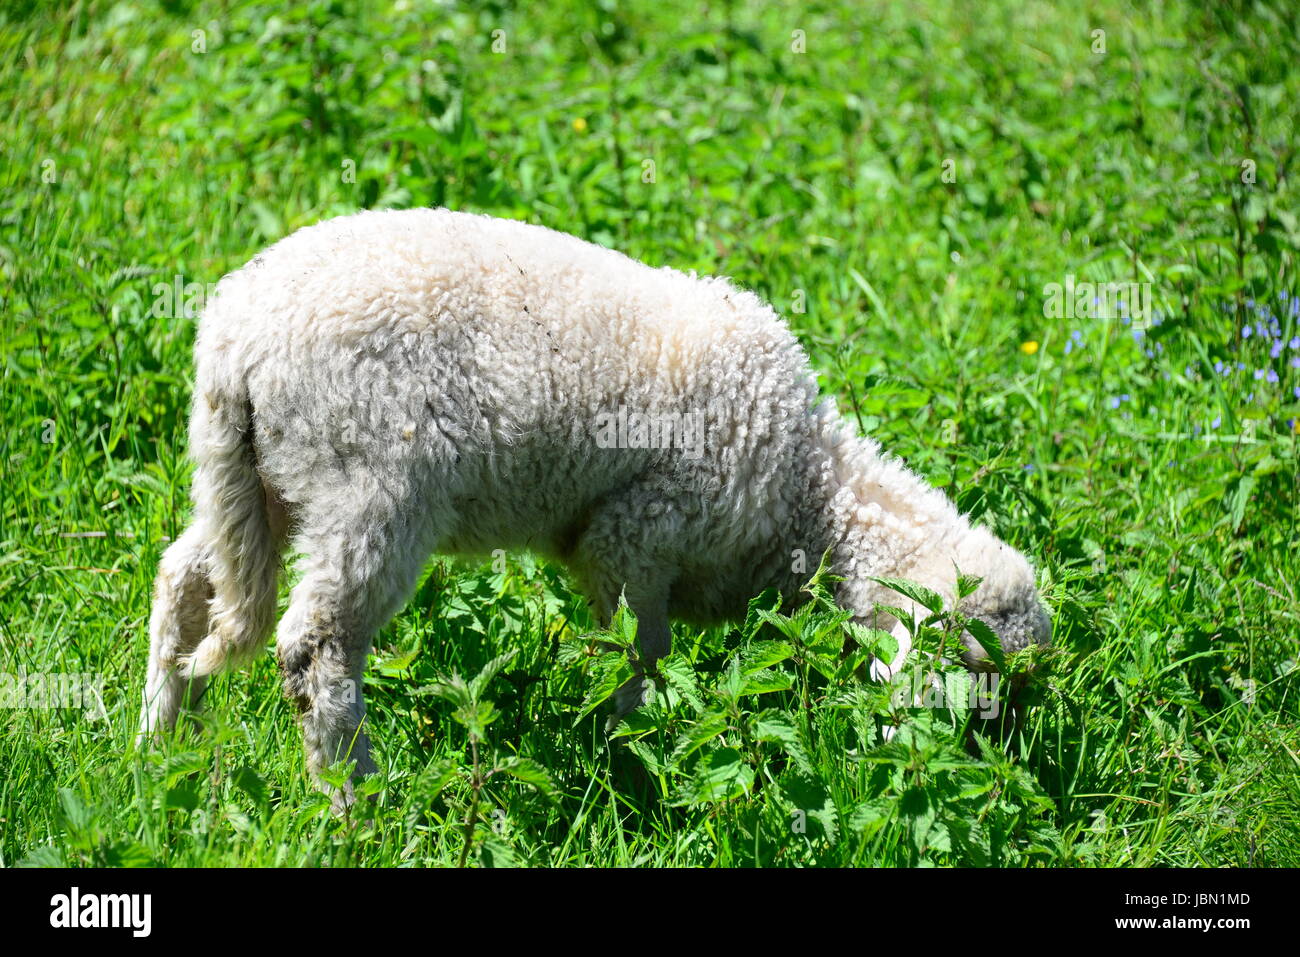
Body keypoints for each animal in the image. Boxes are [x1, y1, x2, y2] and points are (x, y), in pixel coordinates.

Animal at [140, 207, 1051, 807]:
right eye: (974, 676)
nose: (974, 778)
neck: (808, 490)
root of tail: (234, 338)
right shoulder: (636, 534)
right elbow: (639, 659)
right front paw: (636, 767)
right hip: (370, 485)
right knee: (314, 646)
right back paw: (358, 801)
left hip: (255, 481)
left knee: (186, 580)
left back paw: (159, 745)